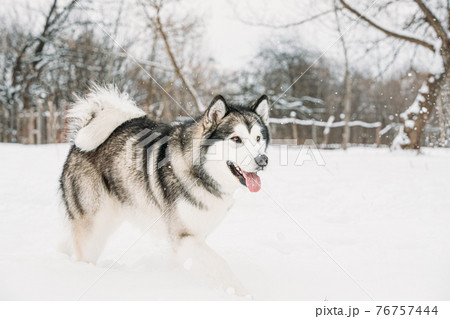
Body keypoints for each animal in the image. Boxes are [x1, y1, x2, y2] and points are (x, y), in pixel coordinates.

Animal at [59, 86, 270, 296]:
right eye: (236, 139)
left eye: (258, 138)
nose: (263, 160)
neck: (200, 173)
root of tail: (77, 143)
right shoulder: (183, 237)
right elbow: (220, 264)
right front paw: (242, 293)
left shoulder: (197, 234)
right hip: (94, 226)